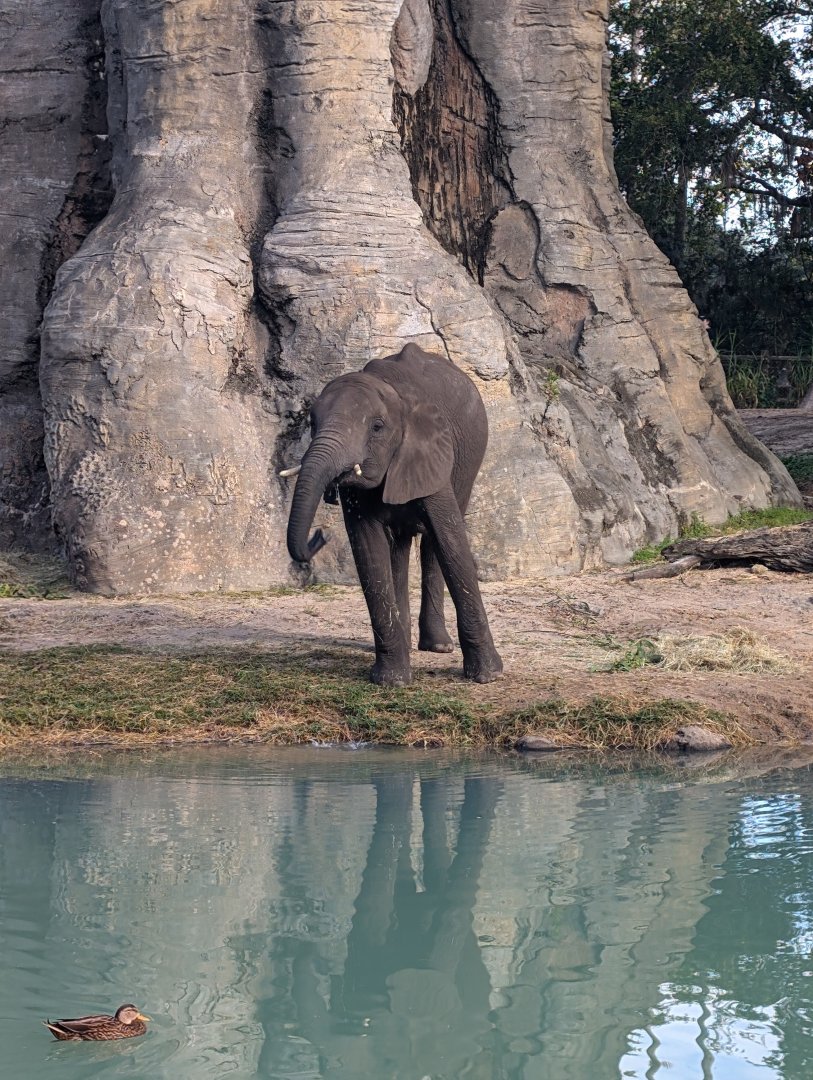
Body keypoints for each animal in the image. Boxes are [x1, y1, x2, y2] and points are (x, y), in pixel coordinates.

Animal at [284, 343, 503, 686]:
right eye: (312, 424)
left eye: (376, 427)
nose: (320, 534)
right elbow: (369, 550)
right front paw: (392, 680)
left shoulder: (431, 452)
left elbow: (451, 541)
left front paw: (488, 676)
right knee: (398, 546)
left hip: (469, 460)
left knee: (431, 543)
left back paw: (438, 646)